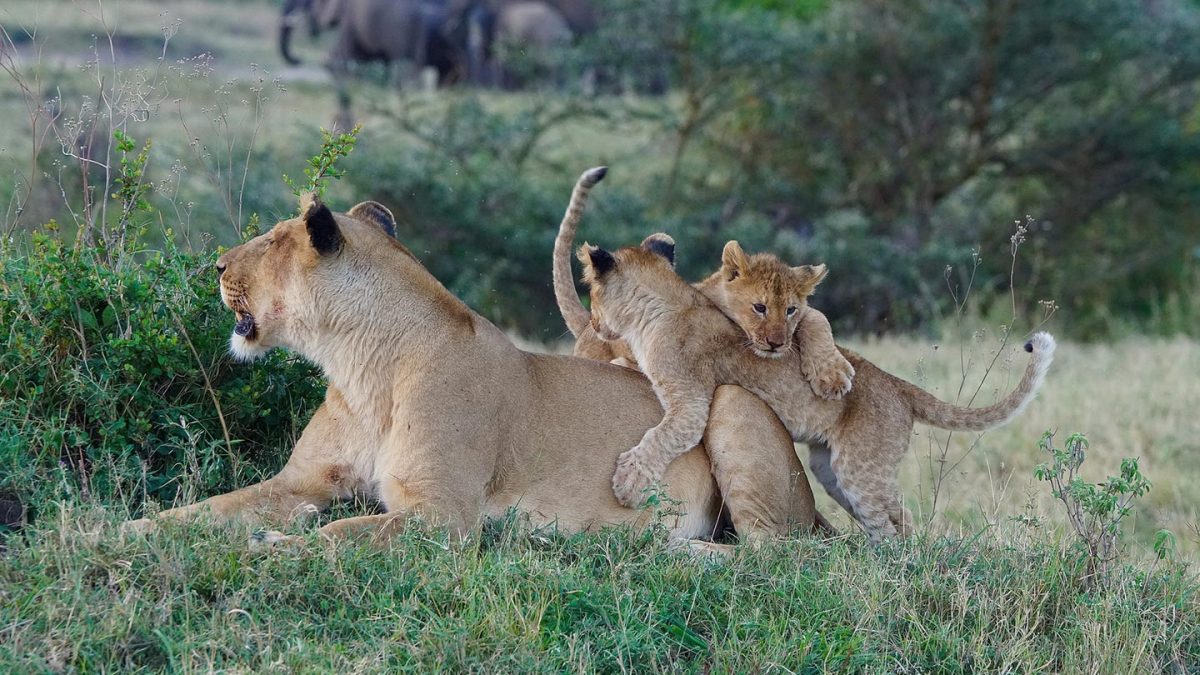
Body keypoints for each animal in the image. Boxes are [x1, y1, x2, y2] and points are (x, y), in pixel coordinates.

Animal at [123, 193, 822, 550]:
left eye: (269, 240)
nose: (216, 266)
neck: (360, 367)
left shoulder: (445, 517)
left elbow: (341, 533)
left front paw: (278, 544)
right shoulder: (300, 481)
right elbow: (204, 510)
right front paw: (121, 530)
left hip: (733, 405)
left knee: (776, 555)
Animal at [577, 236, 1056, 542]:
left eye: (592, 296)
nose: (594, 323)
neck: (657, 308)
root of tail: (898, 386)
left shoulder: (690, 400)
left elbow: (661, 437)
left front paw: (627, 483)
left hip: (861, 470)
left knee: (892, 523)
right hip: (833, 472)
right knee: (894, 516)